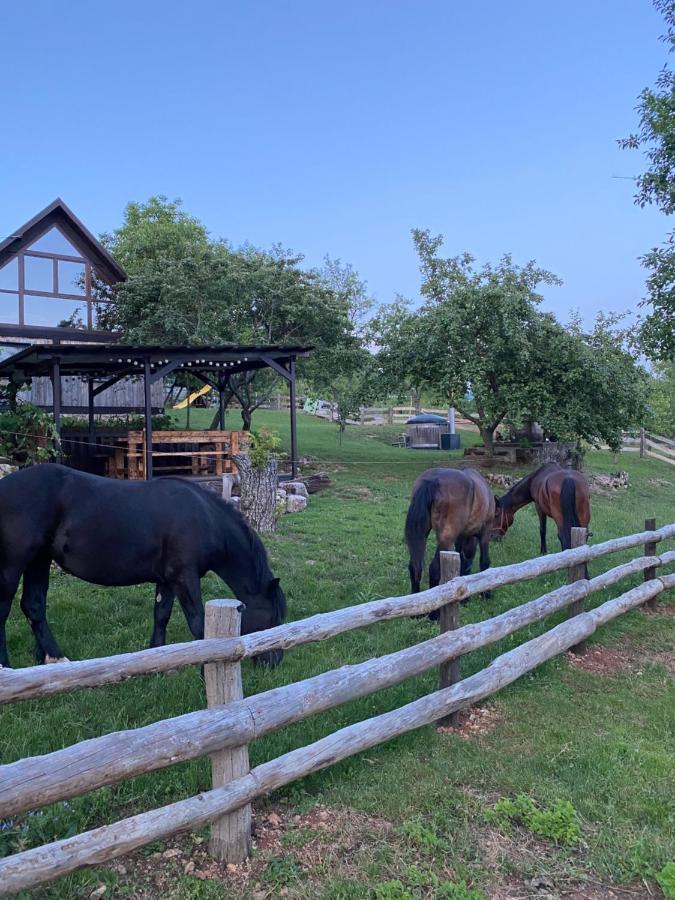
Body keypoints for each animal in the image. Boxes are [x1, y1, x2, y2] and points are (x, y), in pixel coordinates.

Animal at [0, 464, 286, 668]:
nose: (274, 662)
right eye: (274, 617)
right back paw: (7, 667)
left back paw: (53, 659)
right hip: (13, 564)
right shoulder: (184, 577)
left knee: (34, 605)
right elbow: (198, 622)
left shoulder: (167, 579)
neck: (204, 518)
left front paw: (158, 659)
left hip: (38, 560)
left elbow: (161, 615)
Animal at [406, 468, 496, 596]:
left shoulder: (460, 538)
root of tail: (434, 480)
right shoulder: (485, 533)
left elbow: (463, 562)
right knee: (434, 569)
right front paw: (486, 593)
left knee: (415, 567)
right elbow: (484, 561)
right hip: (446, 540)